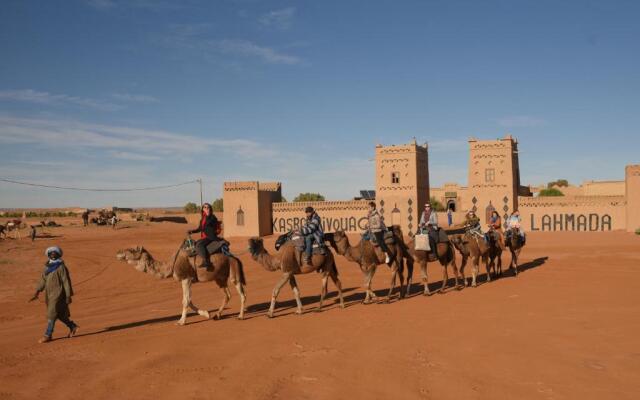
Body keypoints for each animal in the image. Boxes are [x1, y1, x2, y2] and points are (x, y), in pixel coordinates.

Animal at [114, 244, 246, 324]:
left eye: (131, 250)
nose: (118, 252)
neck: (170, 265)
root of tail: (235, 257)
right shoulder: (188, 280)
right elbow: (189, 300)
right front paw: (206, 314)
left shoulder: (186, 279)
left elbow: (185, 301)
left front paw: (181, 321)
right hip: (219, 278)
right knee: (227, 294)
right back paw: (217, 315)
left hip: (233, 272)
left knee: (242, 294)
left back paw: (240, 316)